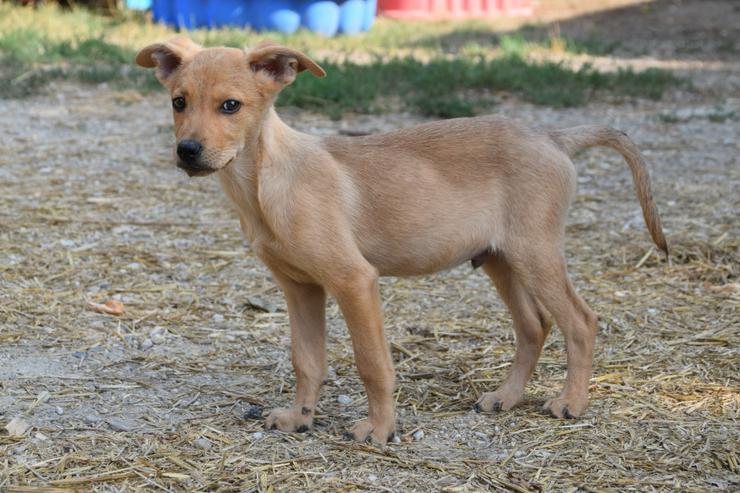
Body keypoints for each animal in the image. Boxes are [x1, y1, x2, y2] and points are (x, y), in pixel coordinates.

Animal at [136, 35, 668, 442]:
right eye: (178, 102)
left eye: (231, 106)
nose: (188, 151)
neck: (266, 183)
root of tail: (552, 137)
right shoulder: (300, 288)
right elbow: (307, 360)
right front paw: (298, 418)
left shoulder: (354, 280)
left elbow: (373, 363)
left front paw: (379, 429)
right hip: (501, 259)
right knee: (534, 326)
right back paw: (506, 397)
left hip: (536, 254)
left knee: (580, 321)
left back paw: (571, 402)